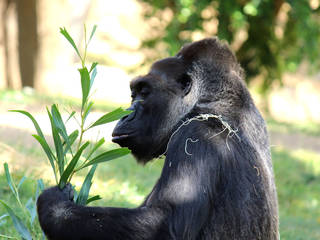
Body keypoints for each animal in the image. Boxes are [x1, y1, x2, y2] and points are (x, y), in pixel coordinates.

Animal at [37, 38, 278, 240]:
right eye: (133, 94)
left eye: (144, 93)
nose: (125, 114)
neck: (214, 102)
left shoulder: (196, 136)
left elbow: (163, 224)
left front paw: (53, 208)